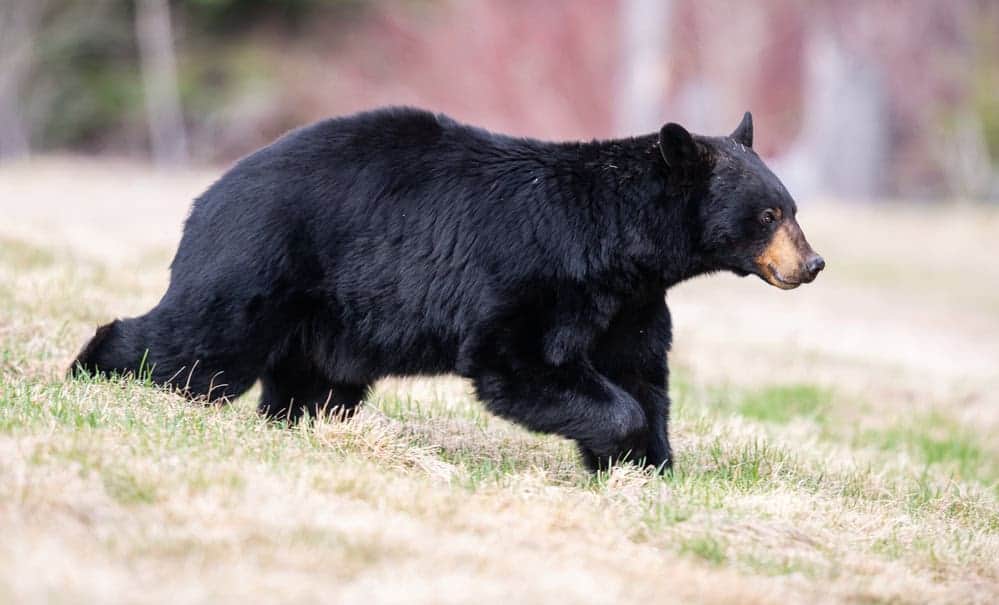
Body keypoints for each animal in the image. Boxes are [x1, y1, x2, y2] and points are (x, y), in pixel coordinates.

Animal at [71, 107, 824, 472]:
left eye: (791, 208)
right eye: (767, 215)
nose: (812, 264)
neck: (620, 246)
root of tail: (206, 195)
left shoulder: (631, 304)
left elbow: (642, 374)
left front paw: (649, 466)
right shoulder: (541, 279)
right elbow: (519, 363)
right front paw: (619, 441)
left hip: (332, 318)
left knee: (312, 382)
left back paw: (296, 424)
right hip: (259, 265)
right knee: (198, 346)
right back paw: (94, 371)